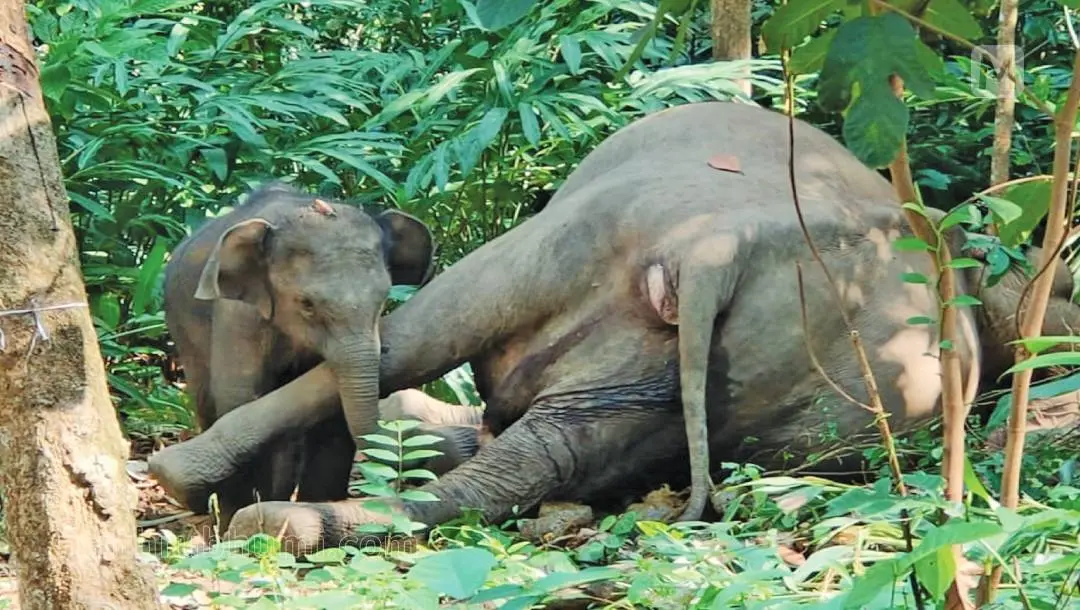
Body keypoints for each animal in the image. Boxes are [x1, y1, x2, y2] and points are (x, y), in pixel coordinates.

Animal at [160, 182, 434, 524]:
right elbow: (238, 399)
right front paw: (241, 519)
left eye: (384, 297)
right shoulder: (239, 316)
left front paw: (317, 508)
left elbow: (331, 415)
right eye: (307, 304)